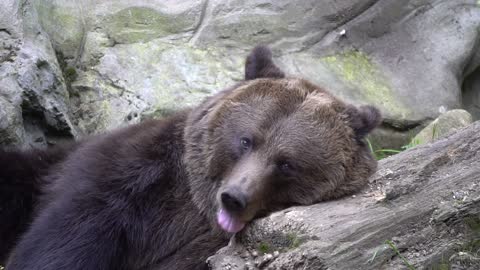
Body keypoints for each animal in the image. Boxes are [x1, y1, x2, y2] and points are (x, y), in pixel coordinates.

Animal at [0, 45, 382, 268]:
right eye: (246, 140)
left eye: (286, 163)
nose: (234, 197)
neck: (195, 206)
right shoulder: (127, 178)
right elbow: (66, 239)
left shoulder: (203, 246)